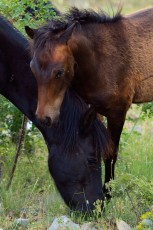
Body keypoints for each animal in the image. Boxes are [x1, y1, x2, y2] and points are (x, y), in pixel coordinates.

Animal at [25, 6, 153, 187]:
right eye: (32, 69)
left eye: (59, 72)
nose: (44, 118)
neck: (100, 61)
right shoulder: (94, 110)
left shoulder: (118, 112)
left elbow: (110, 155)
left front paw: (108, 193)